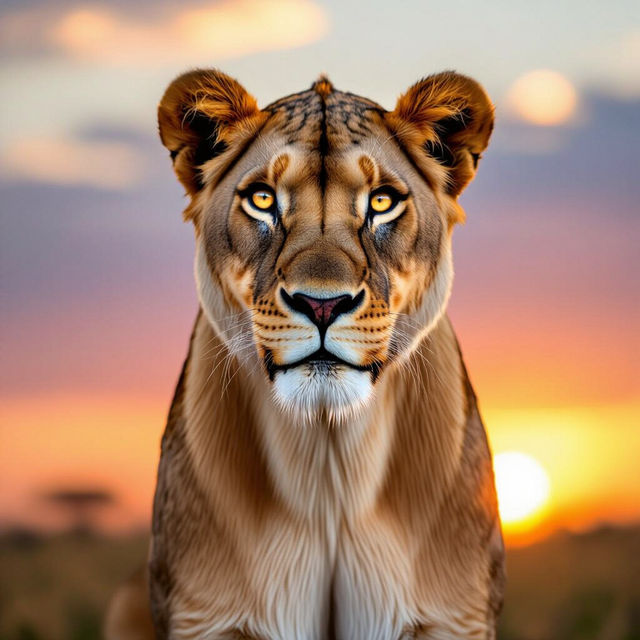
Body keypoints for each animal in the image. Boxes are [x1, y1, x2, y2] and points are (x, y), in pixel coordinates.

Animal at [105, 69, 505, 640]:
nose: (322, 304)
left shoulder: (455, 615)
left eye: (381, 202)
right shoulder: (203, 615)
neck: (327, 456)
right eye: (262, 199)